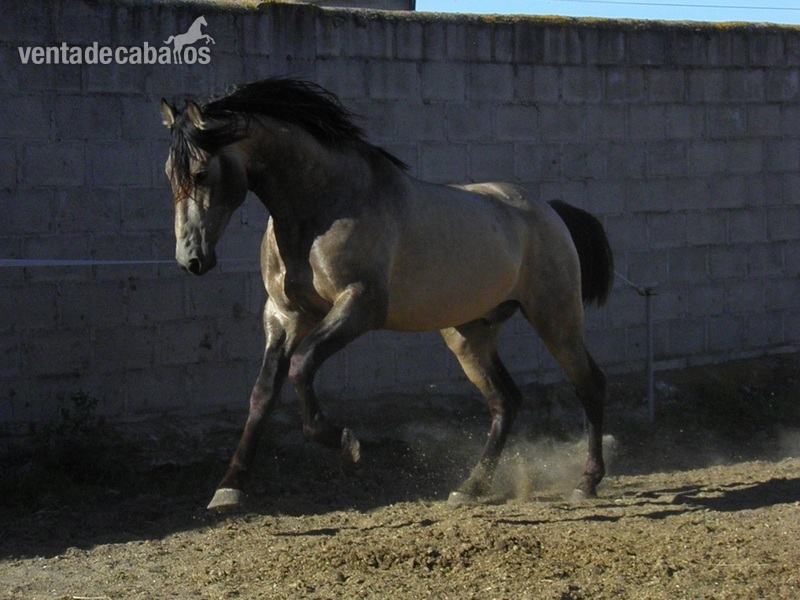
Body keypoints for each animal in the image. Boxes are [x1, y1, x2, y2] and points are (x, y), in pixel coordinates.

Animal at [160, 78, 614, 510]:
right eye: (168, 175)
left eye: (200, 174)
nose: (191, 260)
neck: (324, 205)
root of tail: (549, 210)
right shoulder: (284, 316)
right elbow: (262, 394)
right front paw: (229, 488)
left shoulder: (359, 306)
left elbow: (302, 366)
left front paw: (344, 441)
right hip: (469, 333)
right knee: (506, 401)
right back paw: (470, 487)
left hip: (555, 317)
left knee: (588, 384)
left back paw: (586, 482)